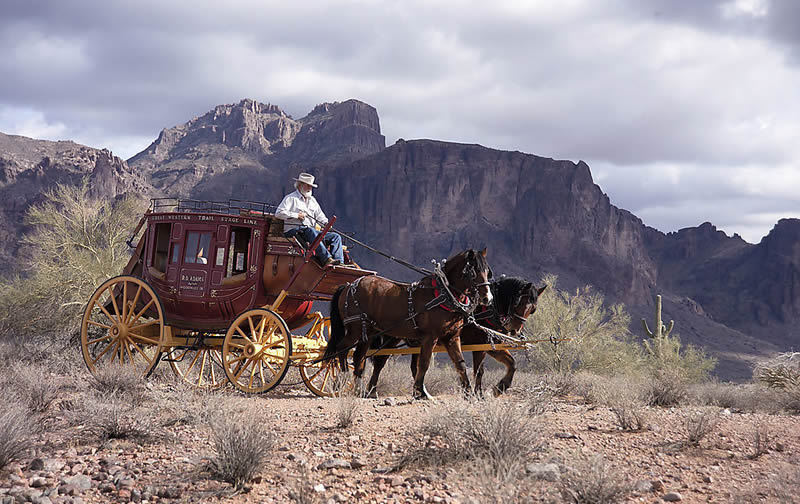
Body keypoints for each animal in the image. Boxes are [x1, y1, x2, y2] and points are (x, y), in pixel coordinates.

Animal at [322, 248, 490, 398]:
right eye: (474, 270)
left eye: (488, 271)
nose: (487, 298)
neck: (443, 294)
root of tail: (349, 285)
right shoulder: (430, 337)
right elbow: (424, 363)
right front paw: (420, 391)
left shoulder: (452, 337)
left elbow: (460, 364)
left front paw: (469, 393)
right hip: (355, 330)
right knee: (341, 349)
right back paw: (342, 380)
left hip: (367, 333)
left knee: (358, 358)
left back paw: (360, 390)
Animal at [366, 276, 548, 398]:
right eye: (518, 302)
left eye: (533, 309)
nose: (515, 329)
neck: (487, 309)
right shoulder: (481, 345)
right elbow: (479, 370)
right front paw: (482, 393)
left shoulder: (490, 346)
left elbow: (511, 364)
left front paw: (497, 388)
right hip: (392, 337)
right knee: (380, 362)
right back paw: (371, 391)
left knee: (414, 366)